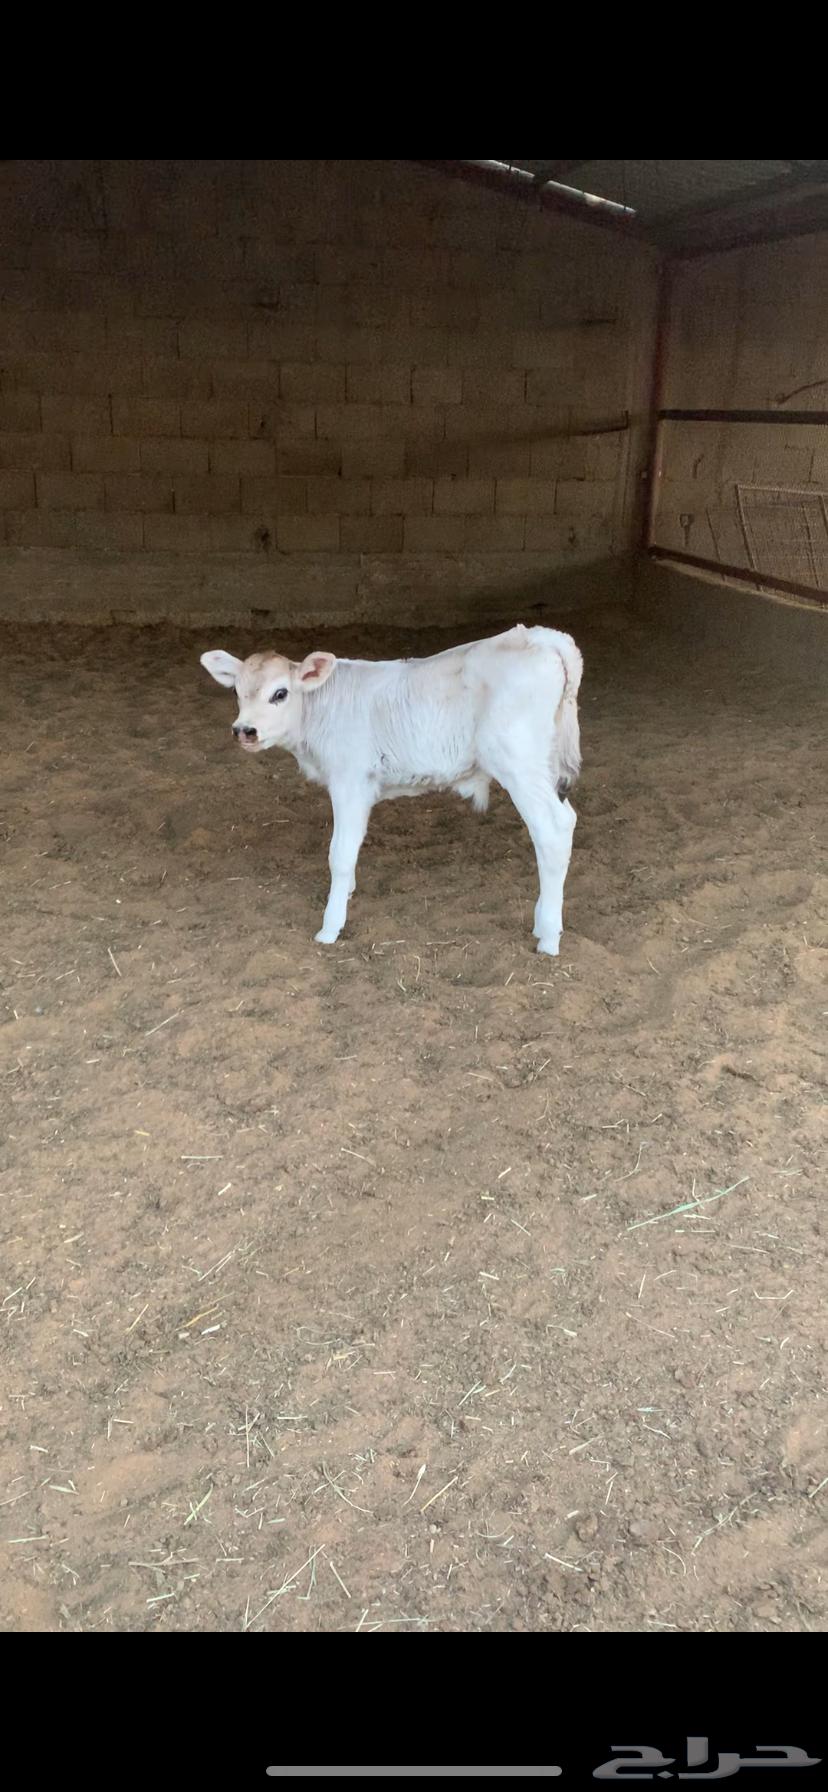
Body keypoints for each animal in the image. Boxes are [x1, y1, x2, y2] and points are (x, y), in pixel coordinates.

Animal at [200, 624, 583, 956]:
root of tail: (542, 637)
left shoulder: (350, 780)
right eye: (236, 691)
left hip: (518, 762)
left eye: (279, 693)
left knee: (552, 829)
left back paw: (548, 936)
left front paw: (330, 926)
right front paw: (347, 894)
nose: (244, 730)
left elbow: (340, 853)